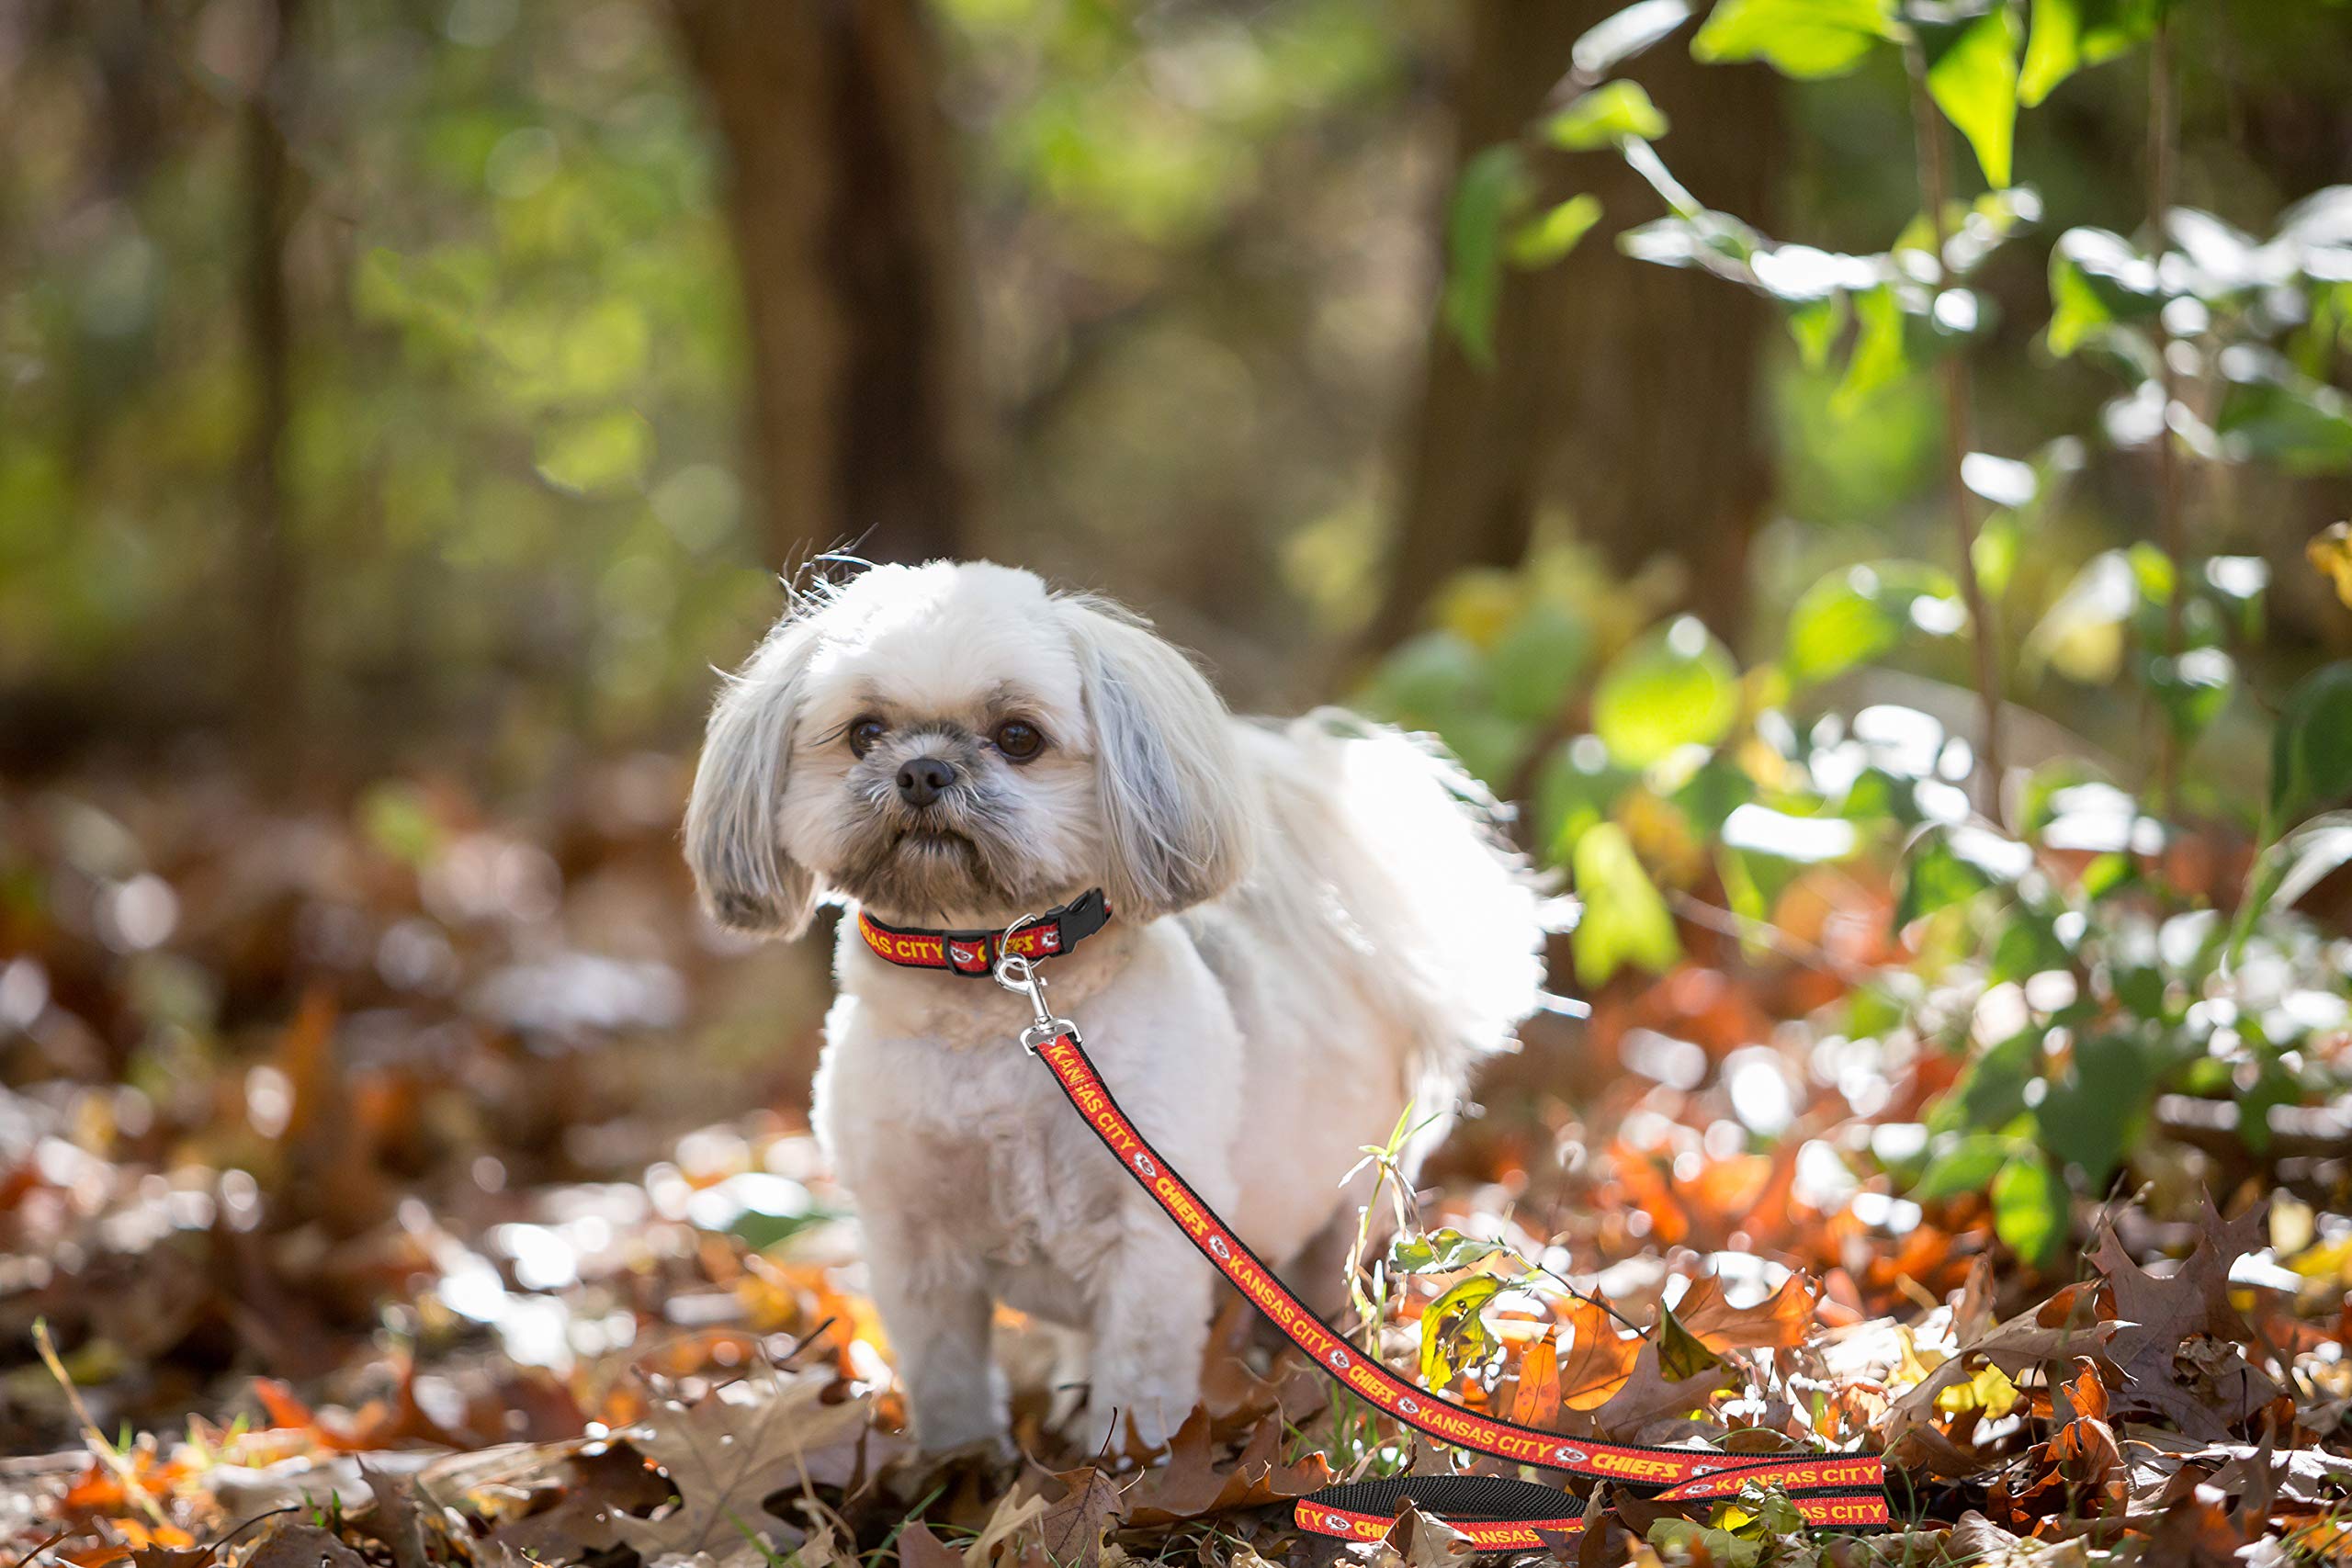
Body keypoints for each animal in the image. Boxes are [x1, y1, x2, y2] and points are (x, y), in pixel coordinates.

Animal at [682, 564, 1543, 1457]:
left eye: (1018, 736)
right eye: (864, 732)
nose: (922, 771)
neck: (991, 1002)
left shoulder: (1153, 1229)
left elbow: (1140, 1375)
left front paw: (1129, 1467)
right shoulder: (910, 1242)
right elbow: (948, 1379)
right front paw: (960, 1467)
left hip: (1346, 1198)